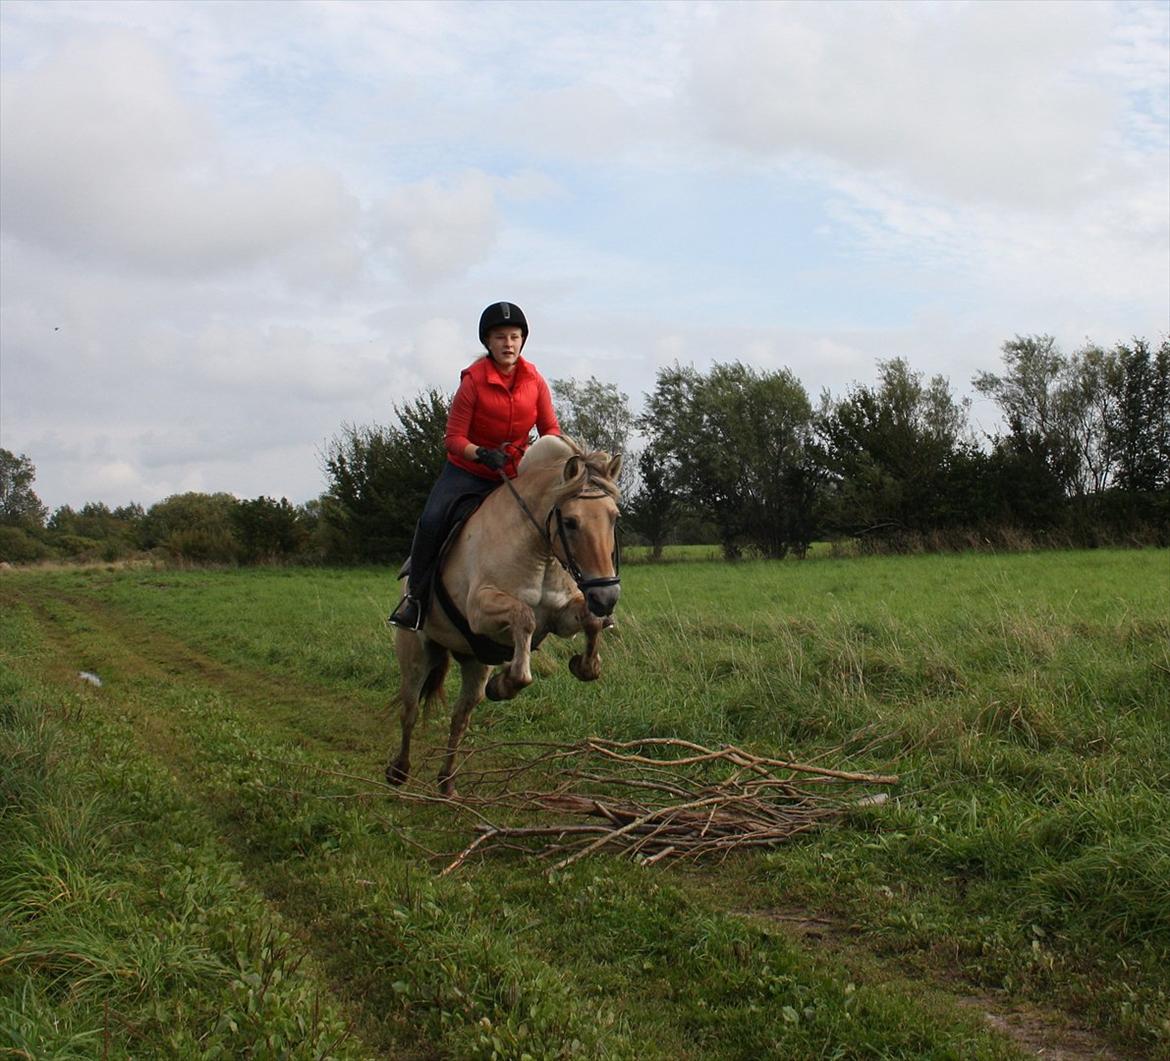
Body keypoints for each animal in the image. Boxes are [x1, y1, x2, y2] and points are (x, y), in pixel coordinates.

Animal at [386, 435, 622, 790]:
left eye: (614, 517)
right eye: (569, 522)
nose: (607, 597)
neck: (539, 551)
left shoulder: (561, 617)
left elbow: (590, 621)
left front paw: (586, 666)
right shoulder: (480, 611)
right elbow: (523, 617)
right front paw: (508, 682)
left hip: (474, 660)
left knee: (460, 718)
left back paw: (447, 783)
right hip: (416, 652)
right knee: (410, 709)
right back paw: (399, 771)